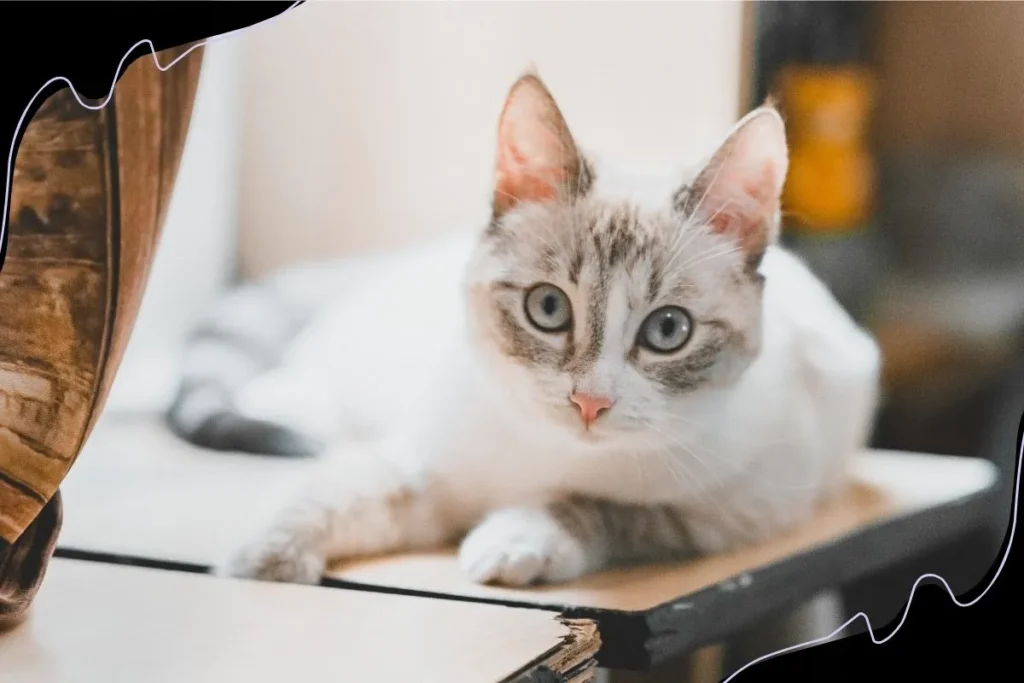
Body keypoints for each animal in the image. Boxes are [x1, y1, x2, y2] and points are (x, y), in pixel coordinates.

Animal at [165, 74, 880, 589]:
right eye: (549, 309)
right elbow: (337, 493)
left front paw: (517, 538)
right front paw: (262, 561)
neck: (545, 448)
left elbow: (596, 506)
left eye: (668, 329)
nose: (589, 402)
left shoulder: (726, 512)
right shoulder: (422, 462)